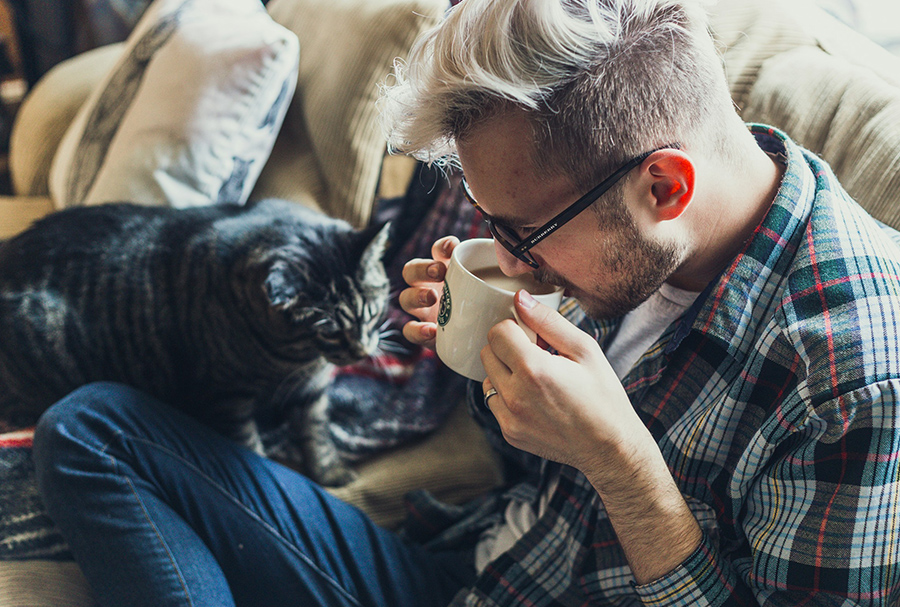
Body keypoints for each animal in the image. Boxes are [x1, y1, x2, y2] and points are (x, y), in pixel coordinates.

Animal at [1, 202, 392, 486]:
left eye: (372, 313)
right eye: (328, 332)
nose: (360, 351)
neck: (297, 361)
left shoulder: (312, 391)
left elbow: (317, 433)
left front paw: (330, 472)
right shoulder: (226, 398)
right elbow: (250, 446)